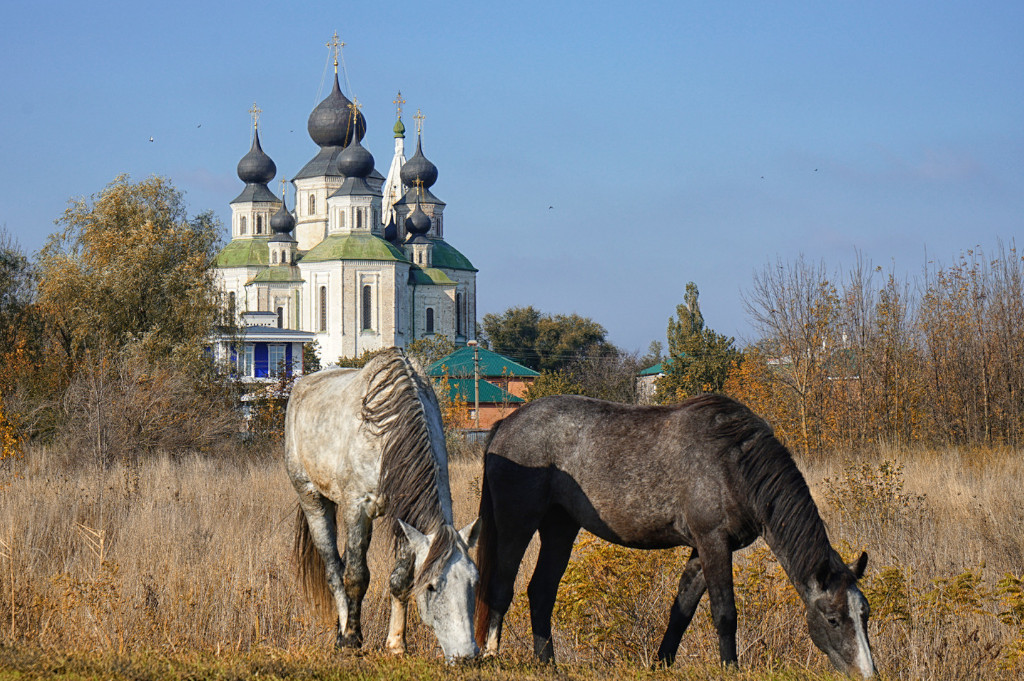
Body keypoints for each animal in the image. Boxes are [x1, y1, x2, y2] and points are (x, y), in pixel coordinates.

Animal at [288, 346, 479, 659]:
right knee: (335, 570)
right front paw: (351, 639)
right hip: (313, 500)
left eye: (474, 582)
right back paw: (343, 635)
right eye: (431, 587)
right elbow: (355, 577)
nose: (467, 655)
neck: (390, 436)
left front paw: (396, 644)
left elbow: (400, 580)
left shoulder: (406, 514)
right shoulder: (357, 508)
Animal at [475, 391, 876, 675]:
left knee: (541, 591)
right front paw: (730, 668)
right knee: (502, 585)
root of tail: (506, 425)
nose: (867, 673)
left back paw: (547, 663)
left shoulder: (702, 550)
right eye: (833, 619)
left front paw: (662, 662)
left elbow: (681, 610)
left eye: (865, 614)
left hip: (560, 527)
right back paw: (492, 654)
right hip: (517, 524)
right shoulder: (713, 543)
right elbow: (724, 612)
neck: (732, 463)